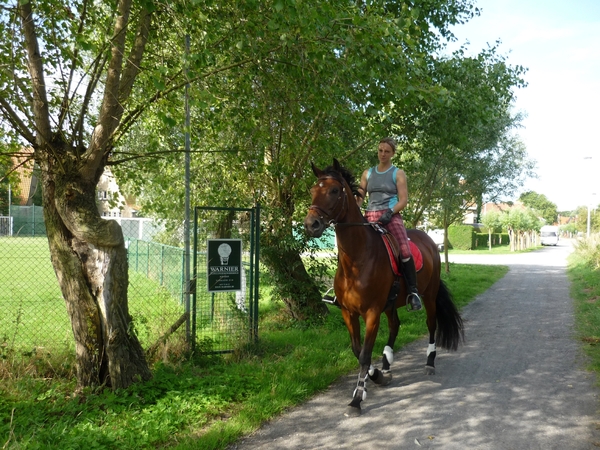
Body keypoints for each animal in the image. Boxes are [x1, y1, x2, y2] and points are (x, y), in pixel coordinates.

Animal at [304, 160, 464, 416]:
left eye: (335, 191)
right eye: (312, 190)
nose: (311, 224)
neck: (357, 259)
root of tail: (429, 240)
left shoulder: (371, 313)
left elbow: (365, 355)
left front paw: (357, 399)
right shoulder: (348, 313)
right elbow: (357, 350)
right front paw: (377, 376)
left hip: (428, 296)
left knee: (431, 324)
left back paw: (429, 362)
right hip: (391, 303)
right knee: (395, 325)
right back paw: (387, 365)